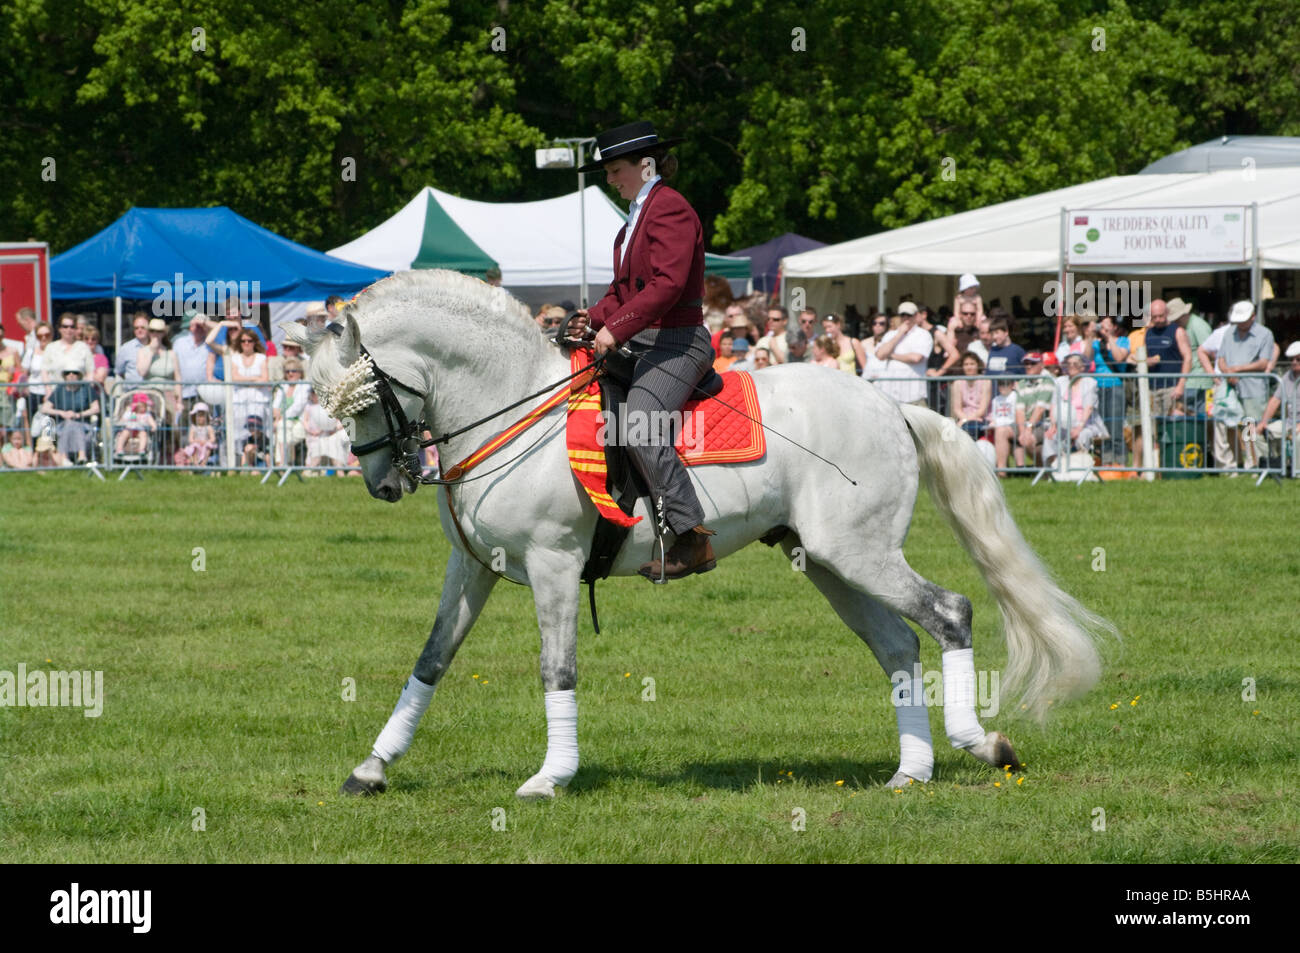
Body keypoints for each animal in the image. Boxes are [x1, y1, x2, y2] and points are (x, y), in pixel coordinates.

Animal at [289, 271, 1112, 800]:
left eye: (361, 398)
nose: (382, 482)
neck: (511, 404)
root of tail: (890, 406)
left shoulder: (553, 564)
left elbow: (558, 670)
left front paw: (551, 777)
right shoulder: (474, 567)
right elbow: (430, 661)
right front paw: (373, 768)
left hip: (861, 553)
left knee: (950, 613)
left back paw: (982, 743)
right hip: (828, 561)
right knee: (899, 645)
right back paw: (911, 771)